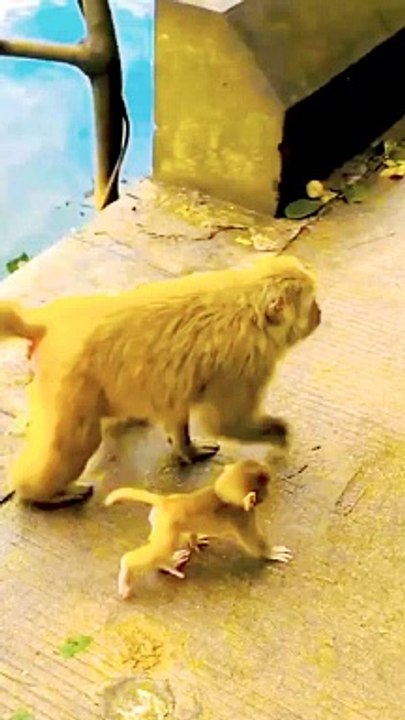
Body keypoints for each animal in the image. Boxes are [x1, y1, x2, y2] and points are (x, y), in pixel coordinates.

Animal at [0, 254, 321, 507]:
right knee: (76, 441)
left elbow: (178, 407)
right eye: (311, 303)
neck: (249, 309)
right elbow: (226, 423)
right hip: (68, 381)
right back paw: (42, 494)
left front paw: (186, 448)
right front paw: (278, 433)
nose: (320, 313)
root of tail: (47, 325)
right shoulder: (243, 364)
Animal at [104, 459, 293, 599]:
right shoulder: (242, 516)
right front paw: (270, 552)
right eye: (265, 487)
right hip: (166, 525)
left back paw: (166, 563)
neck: (223, 495)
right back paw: (130, 568)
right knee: (160, 548)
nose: (268, 493)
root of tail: (166, 501)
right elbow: (253, 543)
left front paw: (194, 540)